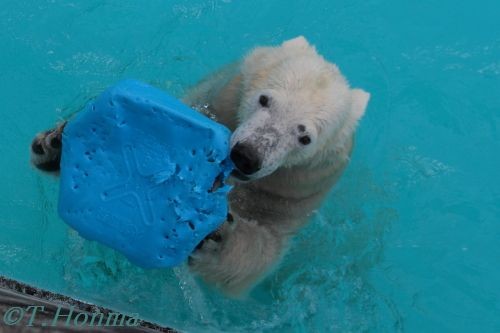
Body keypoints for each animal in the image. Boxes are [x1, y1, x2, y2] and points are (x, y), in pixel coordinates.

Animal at [29, 36, 370, 294]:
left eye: (305, 137)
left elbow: (263, 251)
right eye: (265, 99)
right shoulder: (211, 100)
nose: (247, 156)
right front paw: (55, 145)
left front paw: (217, 235)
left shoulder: (295, 194)